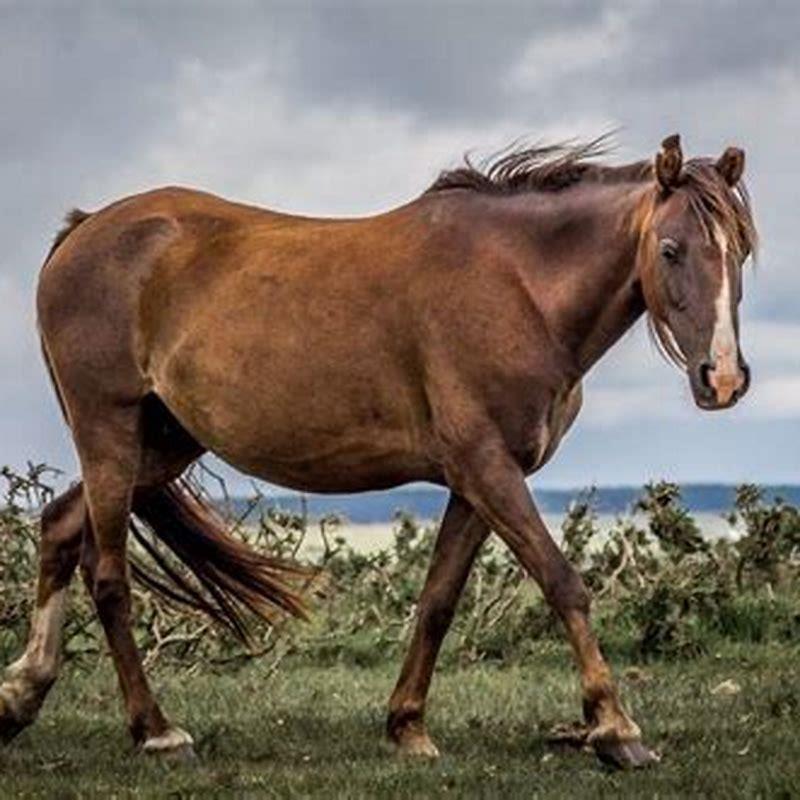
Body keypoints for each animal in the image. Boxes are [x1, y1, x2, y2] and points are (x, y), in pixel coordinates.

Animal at [0, 133, 756, 768]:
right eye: (671, 249)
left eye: (739, 251)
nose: (722, 378)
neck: (518, 287)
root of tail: (84, 230)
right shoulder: (489, 468)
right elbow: (562, 581)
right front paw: (615, 728)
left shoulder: (479, 479)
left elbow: (439, 600)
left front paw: (407, 725)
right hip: (109, 432)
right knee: (108, 577)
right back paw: (156, 730)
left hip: (160, 447)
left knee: (59, 527)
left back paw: (21, 693)